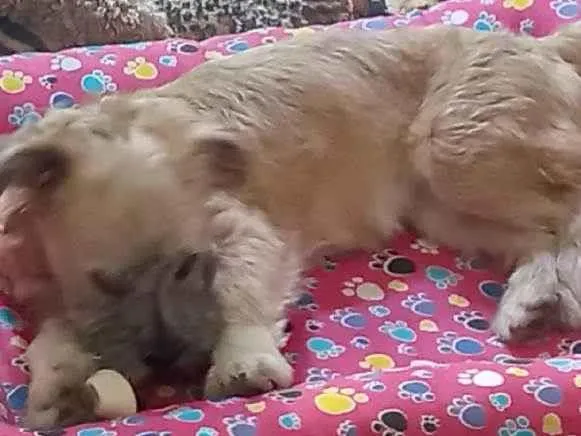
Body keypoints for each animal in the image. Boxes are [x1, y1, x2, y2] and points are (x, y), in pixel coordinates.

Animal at [4, 23, 581, 429]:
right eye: (106, 282)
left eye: (190, 265)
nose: (168, 361)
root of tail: (543, 45)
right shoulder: (58, 296)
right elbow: (53, 336)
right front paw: (54, 385)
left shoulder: (247, 232)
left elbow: (238, 292)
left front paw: (243, 360)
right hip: (444, 203)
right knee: (541, 235)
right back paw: (529, 301)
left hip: (456, 149)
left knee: (570, 212)